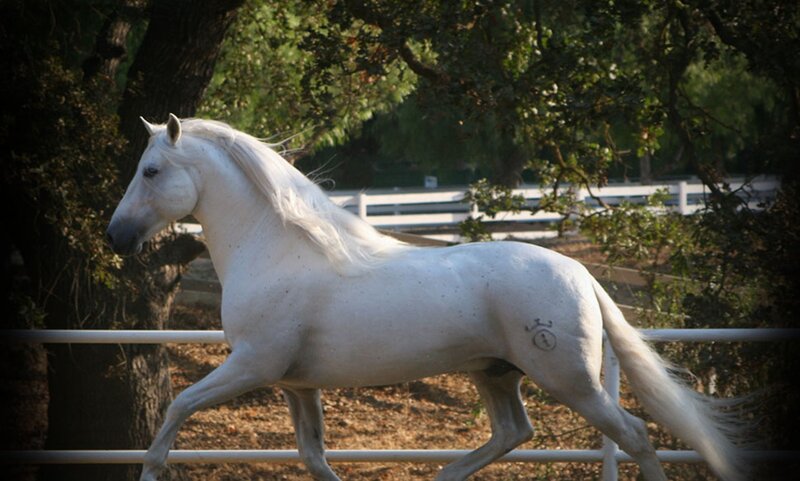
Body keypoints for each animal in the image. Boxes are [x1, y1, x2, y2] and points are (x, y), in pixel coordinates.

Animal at [107, 114, 748, 481]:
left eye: (151, 170)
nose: (115, 237)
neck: (276, 251)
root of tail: (581, 272)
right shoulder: (295, 383)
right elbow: (314, 458)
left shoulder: (251, 366)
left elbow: (174, 413)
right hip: (495, 373)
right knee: (513, 433)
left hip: (570, 381)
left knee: (634, 436)